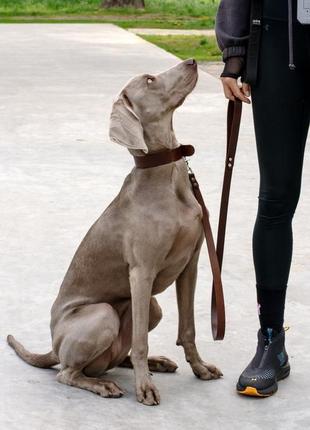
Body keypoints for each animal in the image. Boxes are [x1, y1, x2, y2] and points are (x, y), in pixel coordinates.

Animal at [7, 59, 223, 406]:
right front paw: (144, 388)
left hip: (152, 307)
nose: (192, 62)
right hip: (103, 314)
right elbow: (140, 341)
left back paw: (156, 363)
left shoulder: (190, 264)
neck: (166, 176)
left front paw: (200, 367)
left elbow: (187, 329)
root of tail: (53, 346)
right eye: (149, 80)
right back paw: (105, 384)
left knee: (121, 354)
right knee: (68, 372)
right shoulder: (142, 272)